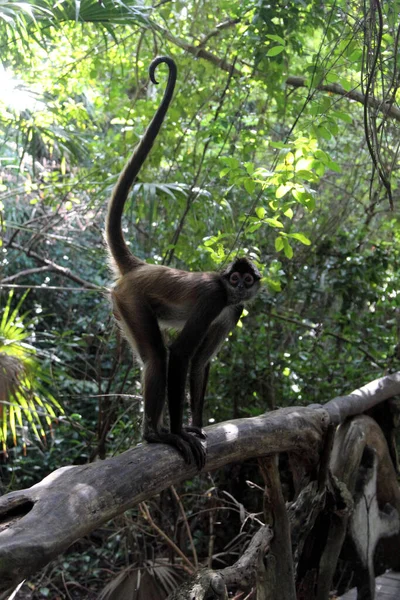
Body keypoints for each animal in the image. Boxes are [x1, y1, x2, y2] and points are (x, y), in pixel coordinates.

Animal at [106, 56, 262, 468]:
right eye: (233, 279)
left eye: (246, 281)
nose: (239, 287)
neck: (226, 295)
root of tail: (141, 266)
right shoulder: (213, 297)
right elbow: (179, 356)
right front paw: (181, 432)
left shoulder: (233, 310)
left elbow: (199, 364)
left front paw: (195, 424)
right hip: (129, 300)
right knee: (158, 357)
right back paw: (158, 434)